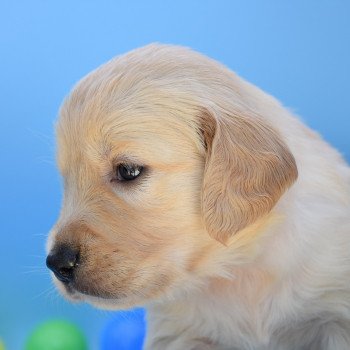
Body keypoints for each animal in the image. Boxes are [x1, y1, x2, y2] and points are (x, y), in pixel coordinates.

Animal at [46, 44, 350, 350]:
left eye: (128, 171)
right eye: (67, 179)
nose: (57, 263)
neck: (235, 268)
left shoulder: (334, 313)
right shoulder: (180, 335)